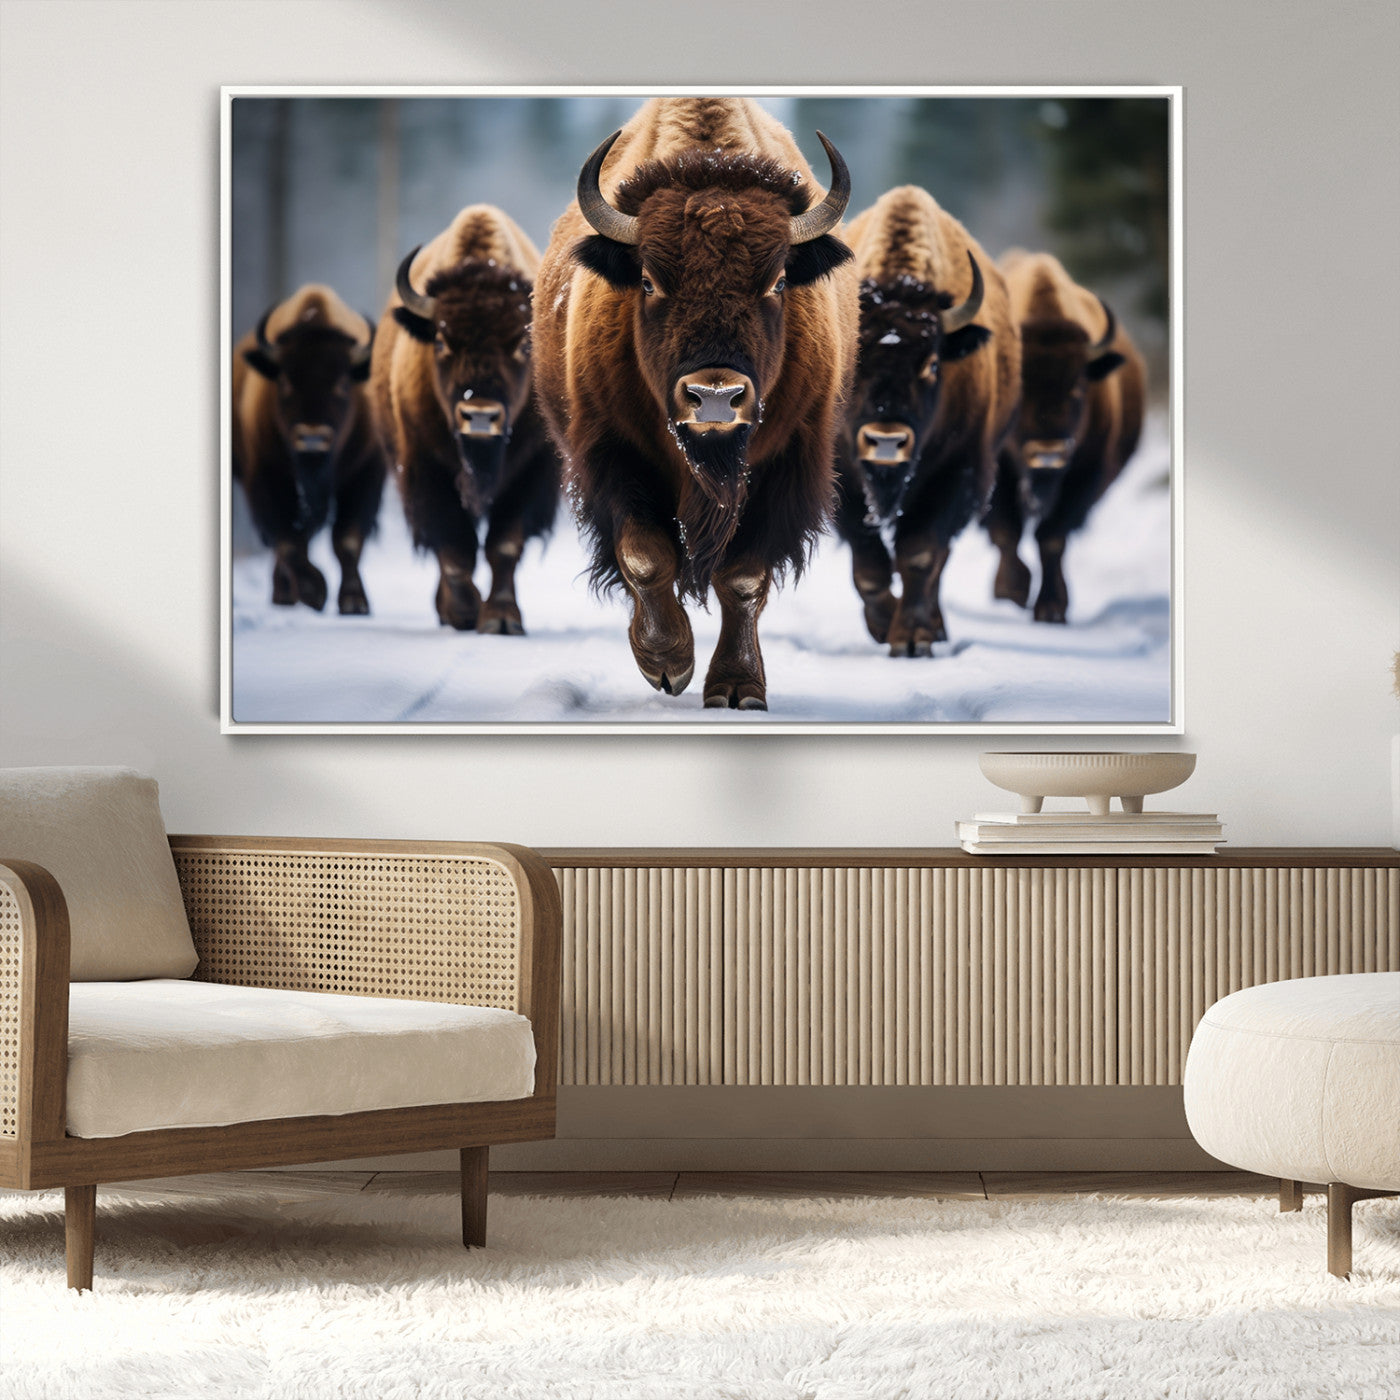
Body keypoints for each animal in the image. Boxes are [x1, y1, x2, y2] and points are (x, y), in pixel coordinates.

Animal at [232, 284, 384, 613]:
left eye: (342, 383)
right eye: (285, 382)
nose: (312, 438)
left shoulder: (365, 473)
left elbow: (347, 539)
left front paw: (354, 602)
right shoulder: (264, 478)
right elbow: (288, 540)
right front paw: (314, 591)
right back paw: (284, 595)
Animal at [370, 205, 560, 633]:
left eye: (523, 344)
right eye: (441, 341)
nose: (480, 415)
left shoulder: (532, 471)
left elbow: (504, 545)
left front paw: (501, 619)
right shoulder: (426, 469)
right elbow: (455, 548)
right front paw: (464, 612)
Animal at [532, 97, 859, 710]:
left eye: (779, 281)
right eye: (648, 280)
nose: (714, 397)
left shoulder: (787, 462)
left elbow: (743, 578)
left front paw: (737, 687)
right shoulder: (613, 452)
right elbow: (644, 555)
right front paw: (667, 663)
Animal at [833, 186, 1021, 656]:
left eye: (933, 364)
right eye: (855, 358)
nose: (886, 441)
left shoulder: (955, 473)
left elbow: (919, 555)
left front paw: (912, 639)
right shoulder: (845, 481)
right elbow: (870, 566)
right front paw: (884, 625)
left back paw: (934, 627)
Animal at [984, 250, 1146, 623]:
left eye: (1078, 388)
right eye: (1020, 390)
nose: (1048, 454)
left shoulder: (1082, 477)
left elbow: (1052, 538)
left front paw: (1051, 607)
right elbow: (1006, 531)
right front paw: (1011, 592)